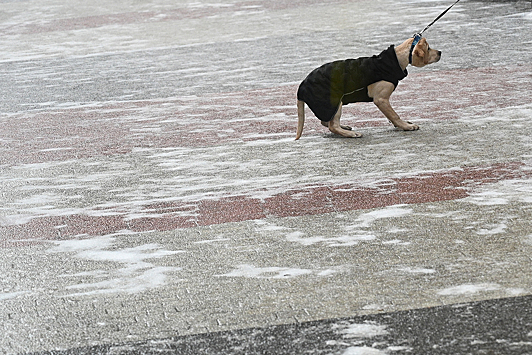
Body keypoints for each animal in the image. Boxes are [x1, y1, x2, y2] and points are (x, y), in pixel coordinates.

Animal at [296, 36, 440, 140]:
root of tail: (302, 86)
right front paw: (405, 126)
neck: (396, 59)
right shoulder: (381, 99)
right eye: (428, 48)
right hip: (334, 102)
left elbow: (391, 114)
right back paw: (351, 134)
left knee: (326, 122)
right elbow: (395, 115)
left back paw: (344, 127)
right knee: (332, 125)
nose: (440, 52)